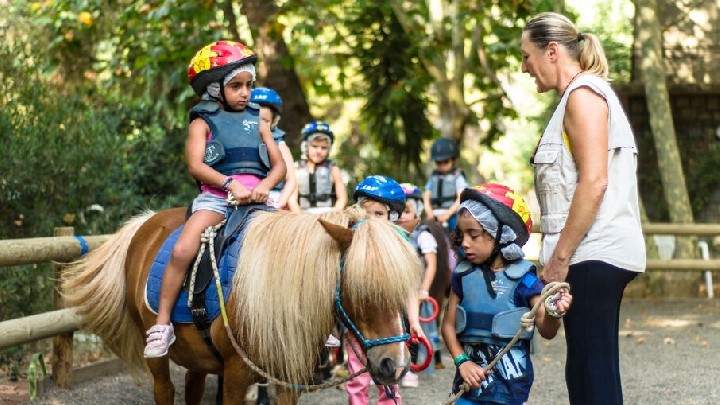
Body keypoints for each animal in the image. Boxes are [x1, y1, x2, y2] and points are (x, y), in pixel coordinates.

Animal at [63, 207, 422, 402]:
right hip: (158, 356)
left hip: (198, 357)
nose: (396, 365)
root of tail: (146, 224)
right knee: (164, 389)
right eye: (360, 290)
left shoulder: (287, 380)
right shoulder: (235, 376)